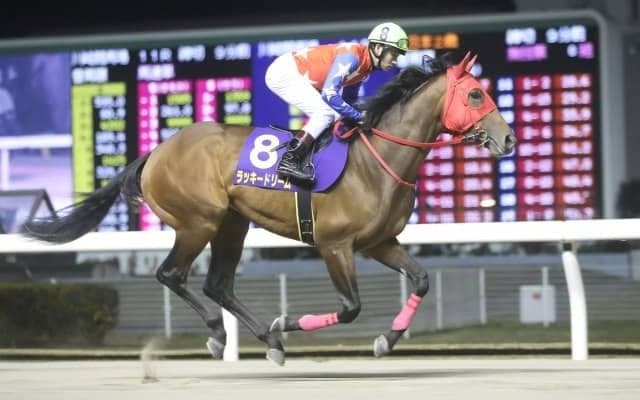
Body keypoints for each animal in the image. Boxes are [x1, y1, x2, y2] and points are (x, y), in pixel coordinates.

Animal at [20, 51, 515, 366]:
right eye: (476, 95)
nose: (508, 138)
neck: (376, 161)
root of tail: (156, 152)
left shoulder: (379, 242)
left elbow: (422, 279)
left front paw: (386, 339)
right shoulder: (335, 245)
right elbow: (351, 307)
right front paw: (287, 320)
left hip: (232, 224)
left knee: (218, 284)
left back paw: (268, 340)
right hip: (198, 221)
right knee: (172, 274)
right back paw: (222, 333)